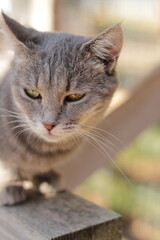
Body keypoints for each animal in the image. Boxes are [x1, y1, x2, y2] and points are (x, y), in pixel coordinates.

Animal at [0, 12, 123, 204]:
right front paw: (10, 182)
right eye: (32, 93)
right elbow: (6, 162)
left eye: (74, 96)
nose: (48, 124)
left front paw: (46, 177)